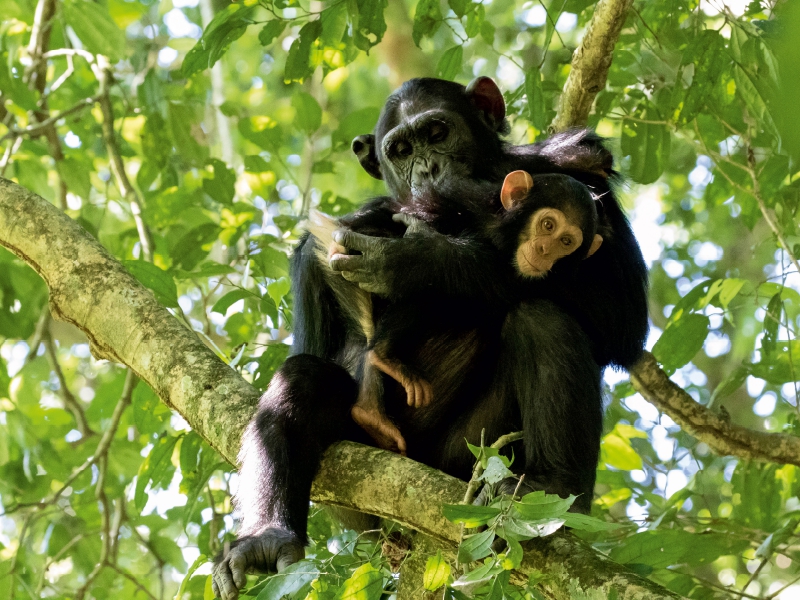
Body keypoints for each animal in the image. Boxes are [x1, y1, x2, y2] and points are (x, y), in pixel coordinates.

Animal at [211, 77, 644, 596]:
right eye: (401, 150)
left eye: (438, 132)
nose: (427, 167)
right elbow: (320, 309)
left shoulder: (578, 174)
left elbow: (623, 318)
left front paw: (419, 261)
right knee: (302, 377)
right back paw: (267, 537)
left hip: (466, 456)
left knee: (541, 317)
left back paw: (554, 485)